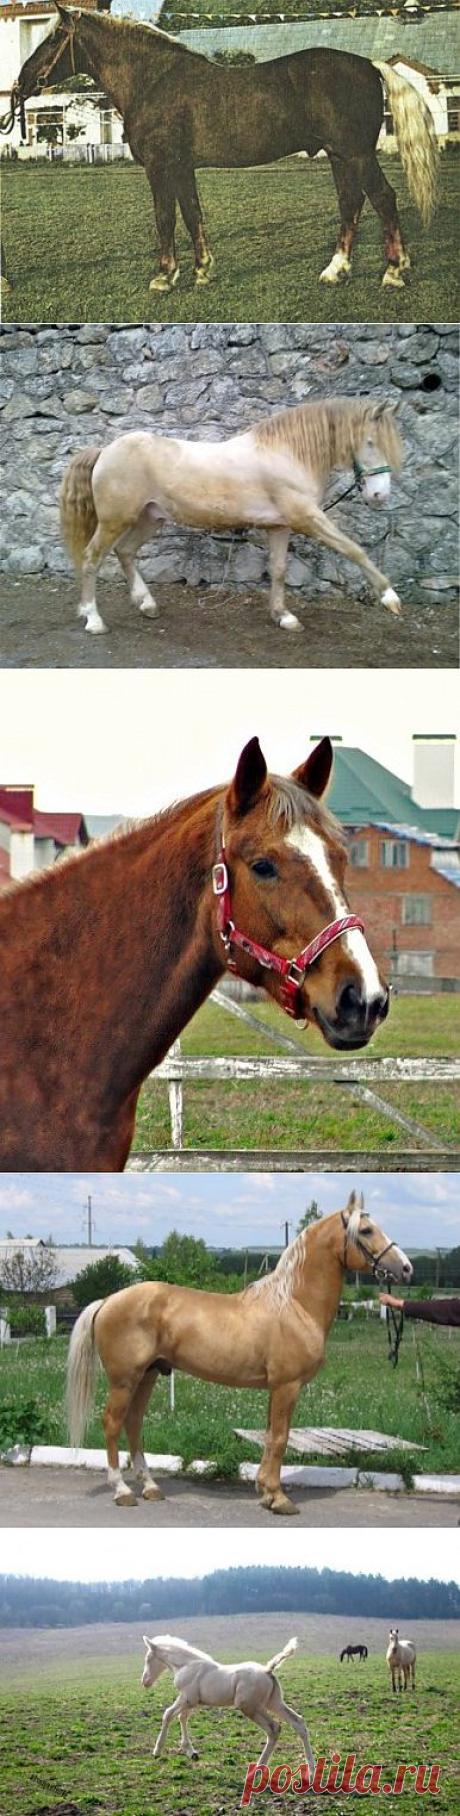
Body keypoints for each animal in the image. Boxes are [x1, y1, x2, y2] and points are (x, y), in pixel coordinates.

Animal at [2, 8, 438, 292]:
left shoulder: (160, 166)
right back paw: (336, 271)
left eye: (54, 38)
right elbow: (192, 214)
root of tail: (368, 64)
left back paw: (394, 272)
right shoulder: (182, 168)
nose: (21, 81)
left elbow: (165, 217)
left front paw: (164, 276)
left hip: (357, 154)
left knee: (383, 198)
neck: (153, 81)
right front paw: (201, 271)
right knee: (350, 203)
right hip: (339, 155)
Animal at [60, 398, 404, 635]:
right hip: (115, 521)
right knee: (92, 559)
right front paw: (390, 597)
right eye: (370, 442)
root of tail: (105, 451)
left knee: (126, 552)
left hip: (149, 518)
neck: (286, 454)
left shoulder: (280, 526)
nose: (379, 495)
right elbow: (354, 549)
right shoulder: (307, 518)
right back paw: (93, 620)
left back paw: (147, 604)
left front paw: (284, 617)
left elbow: (278, 570)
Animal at [66, 1191, 412, 1511]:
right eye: (366, 1230)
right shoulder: (287, 1386)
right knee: (112, 1423)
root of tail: (108, 1301)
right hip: (125, 1380)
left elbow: (271, 1435)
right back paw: (122, 1490)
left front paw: (265, 1490)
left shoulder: (277, 1388)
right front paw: (278, 1498)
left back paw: (150, 1487)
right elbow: (280, 1438)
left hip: (148, 1375)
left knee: (133, 1423)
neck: (294, 1304)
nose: (406, 1268)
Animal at [141, 1633, 315, 1773]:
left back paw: (258, 1768)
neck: (187, 1665)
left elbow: (168, 1714)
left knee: (274, 1729)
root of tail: (268, 1670)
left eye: (148, 1658)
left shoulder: (186, 1698)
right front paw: (191, 1752)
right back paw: (311, 1770)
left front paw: (157, 1751)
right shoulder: (192, 1702)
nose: (145, 1681)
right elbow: (182, 1718)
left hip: (250, 1707)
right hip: (273, 1703)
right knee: (298, 1722)